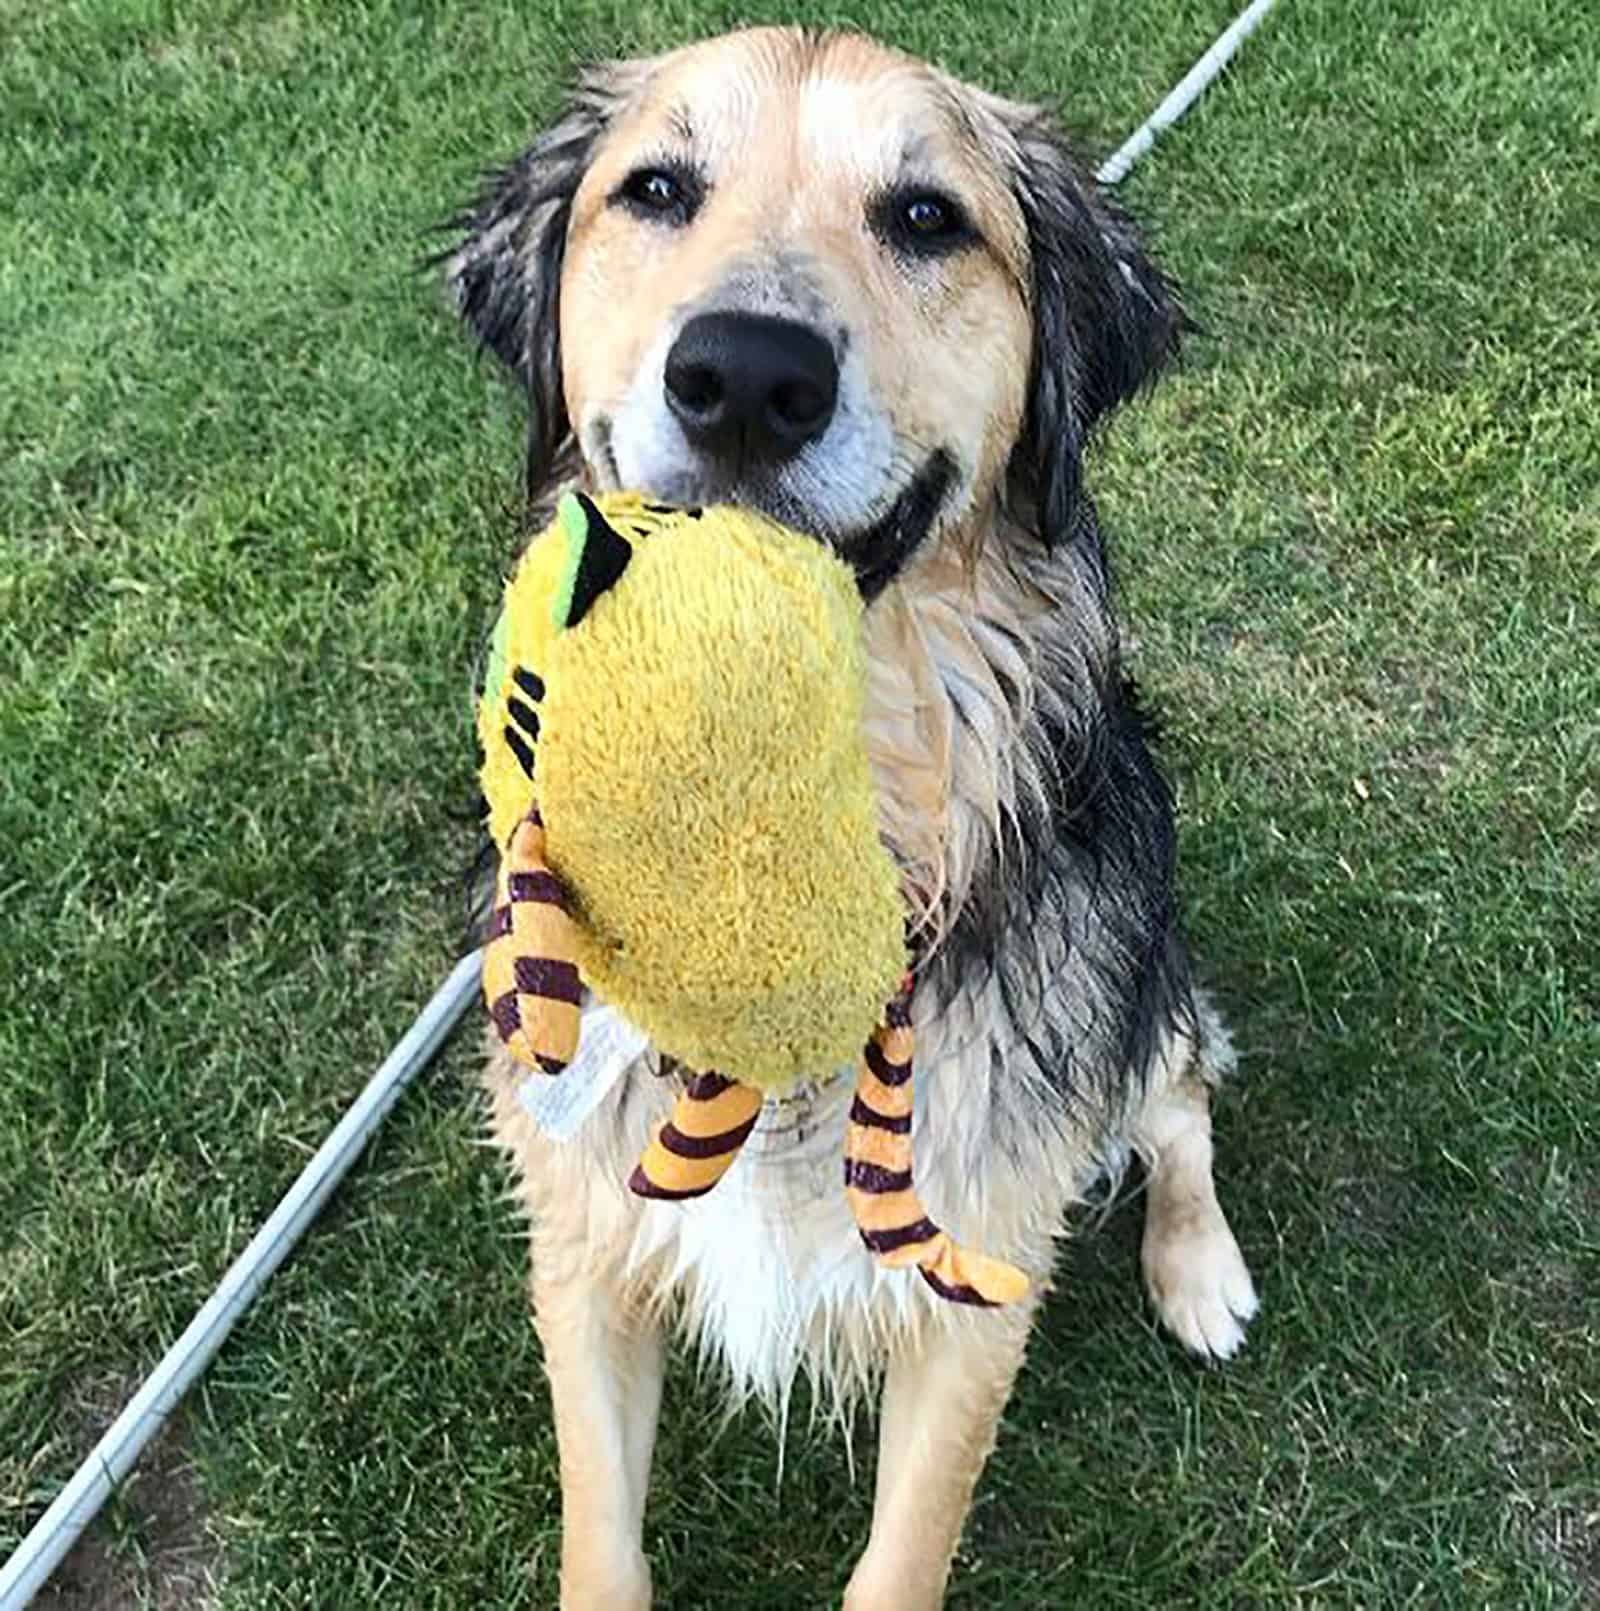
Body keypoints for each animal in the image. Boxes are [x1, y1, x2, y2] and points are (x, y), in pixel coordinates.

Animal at [444, 25, 1256, 1611]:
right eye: (656, 187)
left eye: (927, 217)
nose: (746, 378)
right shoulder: (583, 1232)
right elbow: (600, 1535)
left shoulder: (975, 1279)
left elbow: (902, 1554)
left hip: (1140, 973)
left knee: (1183, 1093)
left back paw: (1202, 1275)